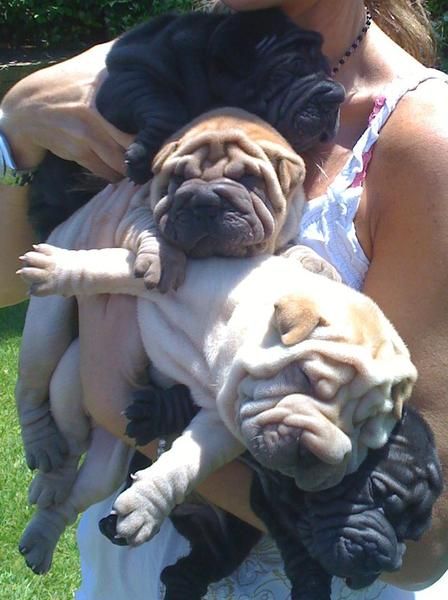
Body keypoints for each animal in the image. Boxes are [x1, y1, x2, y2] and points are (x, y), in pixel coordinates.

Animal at [100, 392, 440, 596]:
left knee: (205, 564)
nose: (388, 561)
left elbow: (303, 557)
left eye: (412, 537)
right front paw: (158, 411)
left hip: (227, 542)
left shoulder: (274, 507)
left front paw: (312, 588)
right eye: (377, 491)